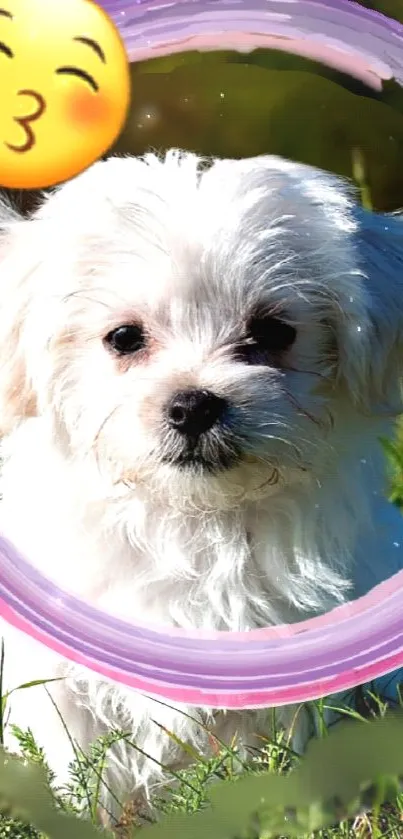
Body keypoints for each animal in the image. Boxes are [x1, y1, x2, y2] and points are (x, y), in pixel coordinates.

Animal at [0, 151, 403, 820]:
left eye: (272, 332)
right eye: (124, 338)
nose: (193, 405)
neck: (198, 522)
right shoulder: (63, 675)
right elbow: (79, 759)